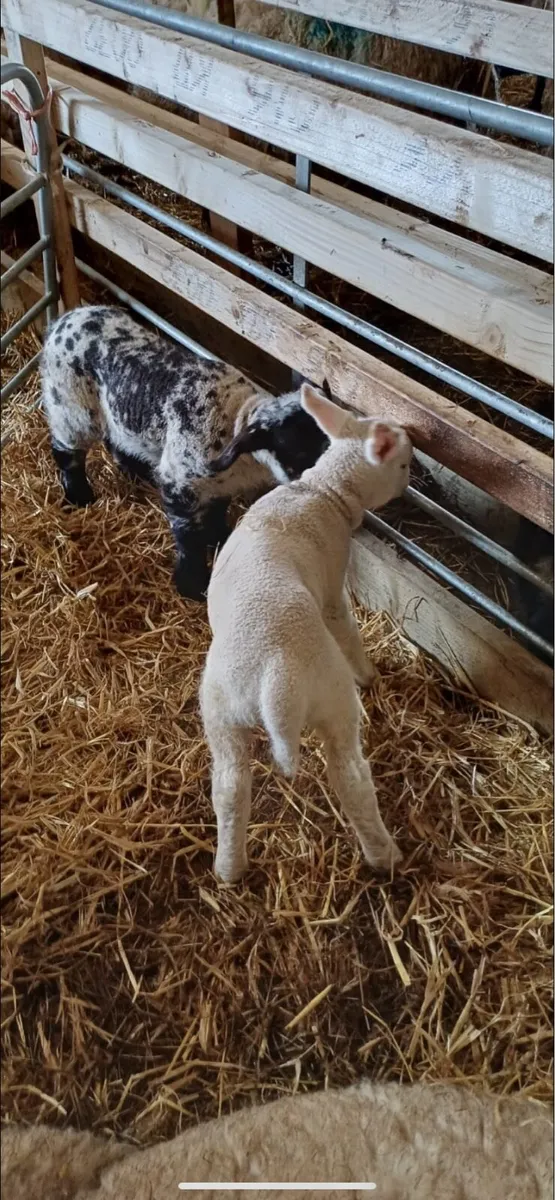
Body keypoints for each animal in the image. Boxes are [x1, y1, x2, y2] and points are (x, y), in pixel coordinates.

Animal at [41, 305, 329, 600]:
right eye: (296, 445)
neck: (236, 417)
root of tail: (64, 319)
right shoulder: (178, 481)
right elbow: (188, 536)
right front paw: (193, 584)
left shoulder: (216, 485)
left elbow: (216, 511)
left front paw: (220, 537)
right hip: (71, 404)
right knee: (66, 450)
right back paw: (79, 496)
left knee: (115, 438)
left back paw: (135, 471)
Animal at [200, 383, 412, 882]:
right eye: (403, 464)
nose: (412, 482)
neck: (322, 488)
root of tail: (277, 680)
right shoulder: (334, 584)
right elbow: (345, 623)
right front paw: (370, 674)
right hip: (333, 701)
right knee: (350, 778)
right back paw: (385, 857)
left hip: (221, 712)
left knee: (230, 786)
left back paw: (229, 869)